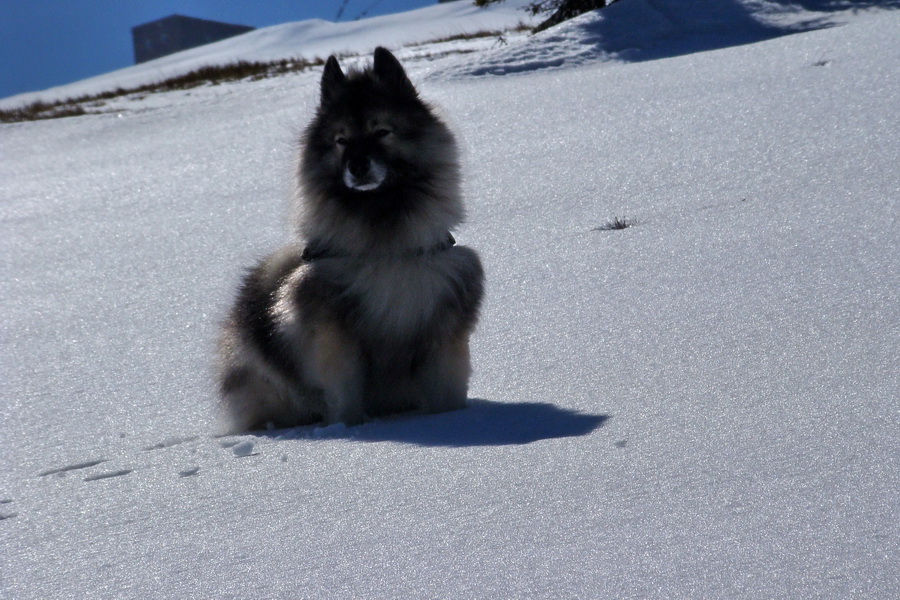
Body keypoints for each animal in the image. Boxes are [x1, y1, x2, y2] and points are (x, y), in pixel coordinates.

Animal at [216, 48, 486, 432]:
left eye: (382, 131)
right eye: (341, 140)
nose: (357, 166)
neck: (385, 249)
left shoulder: (443, 331)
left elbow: (447, 393)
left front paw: (454, 421)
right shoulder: (336, 342)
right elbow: (344, 395)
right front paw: (347, 430)